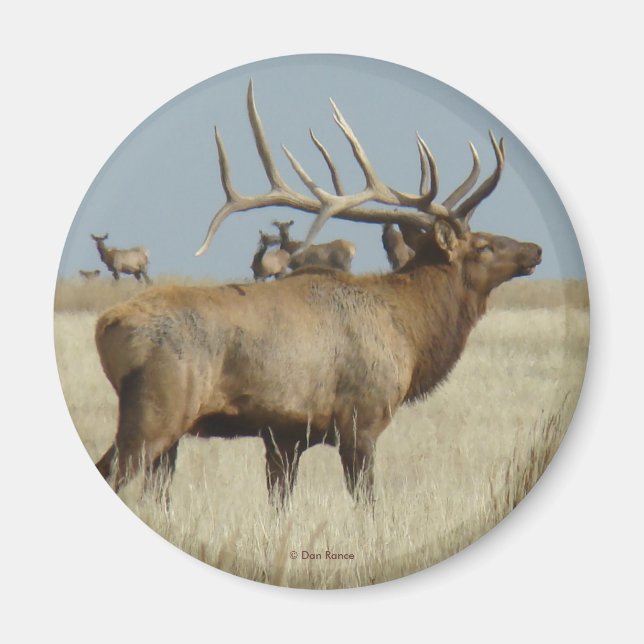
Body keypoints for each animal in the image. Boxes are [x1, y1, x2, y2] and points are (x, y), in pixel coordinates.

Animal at [94, 81, 541, 507]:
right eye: (483, 245)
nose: (534, 249)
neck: (411, 334)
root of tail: (106, 325)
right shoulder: (361, 419)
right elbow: (367, 504)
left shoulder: (285, 435)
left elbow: (280, 505)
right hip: (157, 410)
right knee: (116, 473)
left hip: (167, 430)